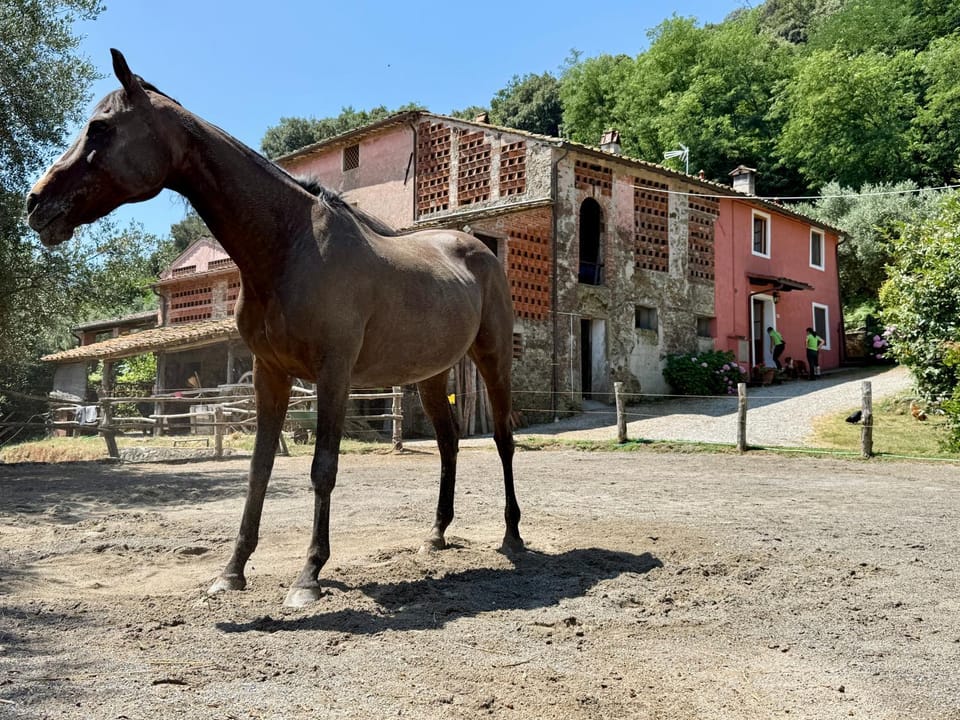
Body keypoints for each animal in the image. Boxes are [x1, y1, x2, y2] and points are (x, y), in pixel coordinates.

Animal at [26, 49, 523, 607]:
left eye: (101, 128)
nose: (35, 203)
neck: (289, 245)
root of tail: (478, 248)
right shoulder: (270, 373)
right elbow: (259, 468)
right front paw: (232, 570)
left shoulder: (333, 374)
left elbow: (323, 467)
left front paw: (309, 575)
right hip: (432, 375)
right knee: (449, 442)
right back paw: (435, 535)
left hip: (492, 358)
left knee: (503, 438)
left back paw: (513, 536)